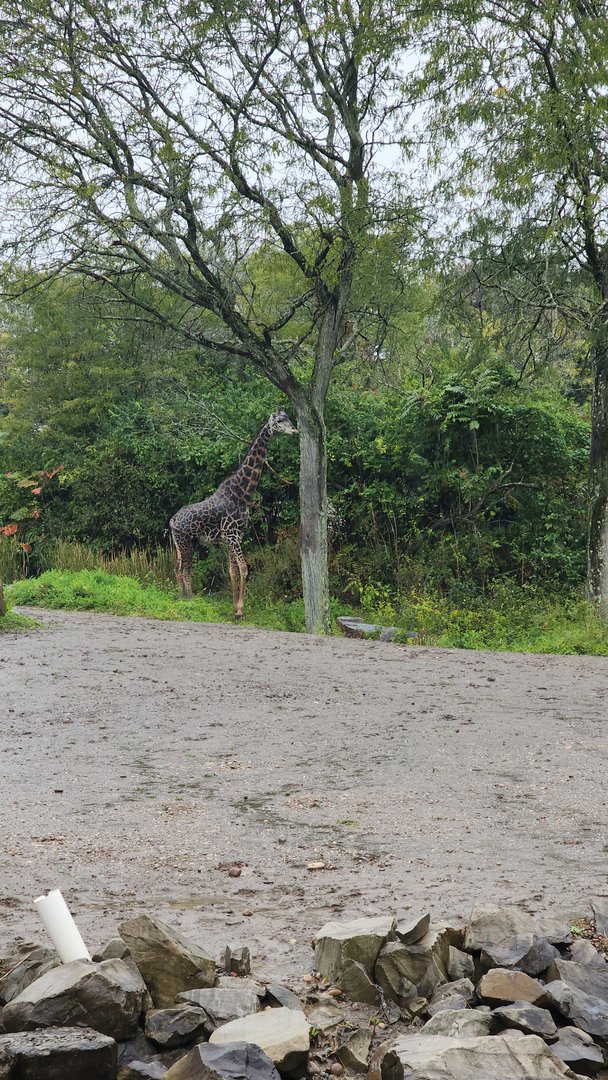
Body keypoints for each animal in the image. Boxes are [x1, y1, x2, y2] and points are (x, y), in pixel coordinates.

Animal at [169, 409, 298, 617]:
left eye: (288, 418)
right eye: (279, 421)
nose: (294, 431)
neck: (243, 493)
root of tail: (172, 520)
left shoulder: (233, 537)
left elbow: (232, 571)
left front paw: (234, 606)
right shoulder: (232, 535)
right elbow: (244, 569)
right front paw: (240, 610)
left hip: (182, 543)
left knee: (177, 568)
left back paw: (181, 598)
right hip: (186, 543)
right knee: (185, 570)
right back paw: (191, 601)